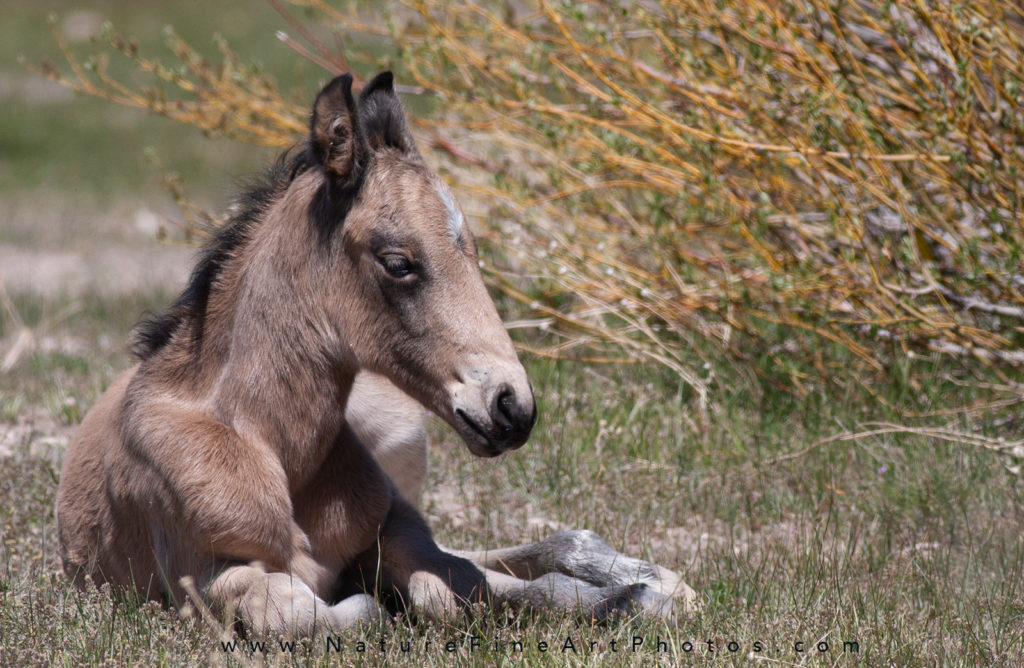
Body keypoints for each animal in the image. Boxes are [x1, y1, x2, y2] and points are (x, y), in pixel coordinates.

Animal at [56, 73, 696, 635]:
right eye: (398, 262)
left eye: (473, 251)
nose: (513, 407)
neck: (265, 444)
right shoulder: (203, 575)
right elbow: (301, 612)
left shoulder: (396, 524)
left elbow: (461, 587)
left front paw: (632, 595)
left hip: (402, 442)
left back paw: (652, 582)